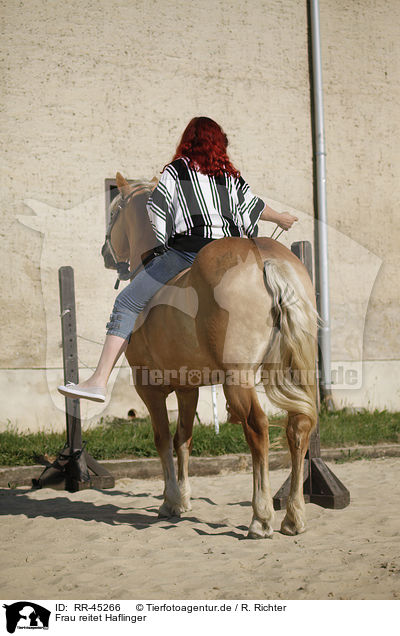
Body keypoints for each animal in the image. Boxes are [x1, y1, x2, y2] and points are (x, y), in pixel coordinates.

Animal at [101, 170, 318, 536]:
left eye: (114, 211)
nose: (105, 251)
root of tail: (262, 257)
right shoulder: (188, 389)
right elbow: (183, 439)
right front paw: (184, 498)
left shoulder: (148, 387)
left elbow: (162, 438)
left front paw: (171, 500)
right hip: (294, 373)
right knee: (298, 427)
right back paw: (294, 516)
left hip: (238, 380)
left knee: (258, 429)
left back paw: (261, 517)